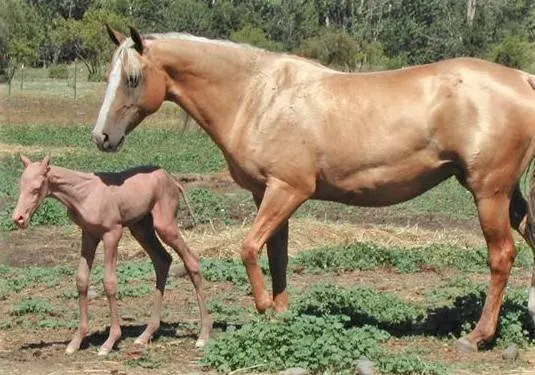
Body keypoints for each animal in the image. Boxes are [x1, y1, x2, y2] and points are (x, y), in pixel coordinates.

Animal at [11, 155, 211, 356]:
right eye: (20, 186)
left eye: (37, 188)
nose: (19, 219)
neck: (84, 193)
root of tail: (173, 180)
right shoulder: (89, 234)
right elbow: (81, 280)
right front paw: (76, 341)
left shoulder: (112, 233)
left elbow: (109, 283)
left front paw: (109, 342)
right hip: (141, 228)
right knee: (162, 260)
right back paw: (145, 335)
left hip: (165, 225)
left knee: (191, 261)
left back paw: (203, 336)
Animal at [93, 25, 535, 352]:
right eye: (109, 77)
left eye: (132, 78)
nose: (102, 137)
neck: (258, 97)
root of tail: (523, 79)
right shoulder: (267, 193)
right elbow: (277, 256)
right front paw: (281, 315)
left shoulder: (288, 190)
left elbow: (249, 248)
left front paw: (265, 308)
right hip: (508, 196)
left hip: (489, 194)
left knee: (502, 257)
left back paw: (476, 336)